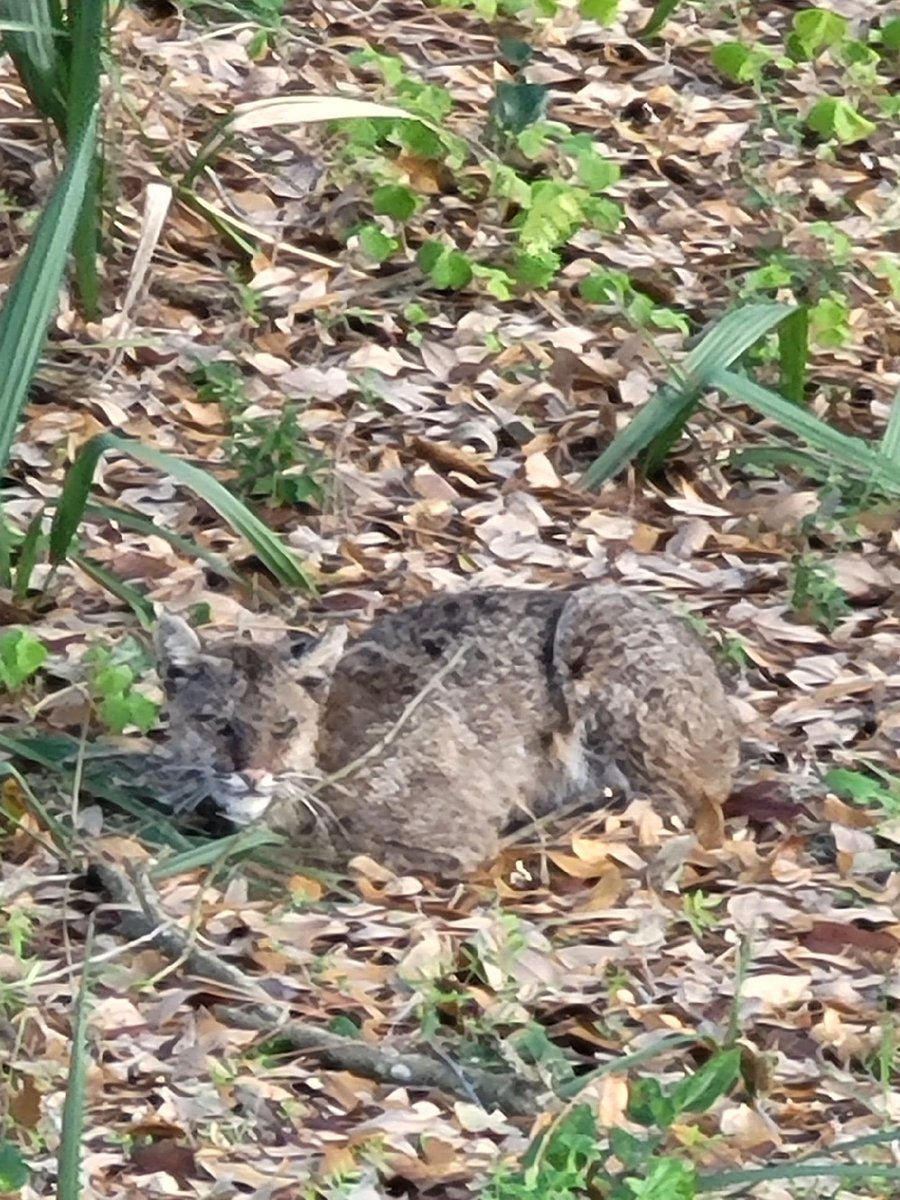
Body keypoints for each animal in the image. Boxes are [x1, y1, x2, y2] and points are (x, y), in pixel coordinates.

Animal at [154, 588, 739, 873]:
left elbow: (325, 845)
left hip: (592, 624)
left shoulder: (452, 833)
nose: (252, 775)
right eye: (217, 725)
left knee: (676, 800)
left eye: (284, 726)